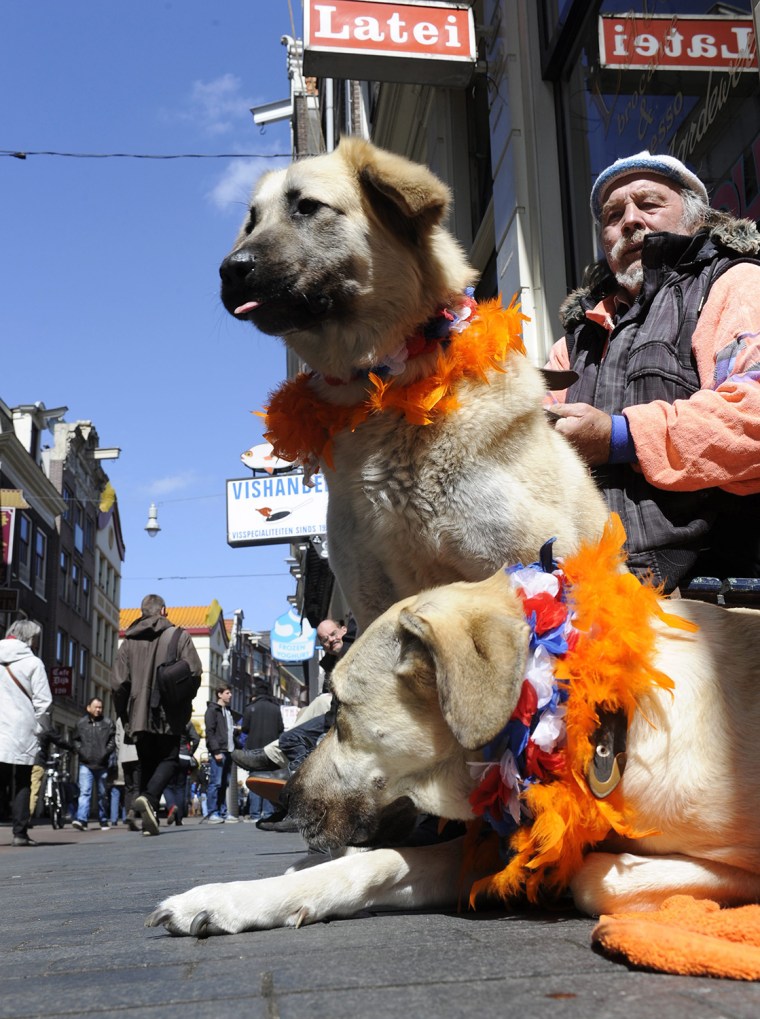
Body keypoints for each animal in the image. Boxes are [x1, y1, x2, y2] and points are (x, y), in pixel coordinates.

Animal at [219, 135, 603, 627]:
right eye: (251, 221)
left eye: (307, 207)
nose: (230, 270)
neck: (384, 394)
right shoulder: (371, 595)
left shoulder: (533, 567)